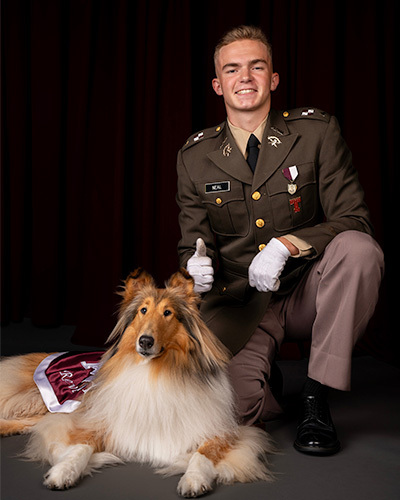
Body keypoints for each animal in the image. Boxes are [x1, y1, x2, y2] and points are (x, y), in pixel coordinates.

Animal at [0, 270, 276, 496]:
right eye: (143, 310)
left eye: (167, 313)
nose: (145, 341)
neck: (154, 371)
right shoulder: (95, 421)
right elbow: (80, 447)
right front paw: (62, 472)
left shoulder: (225, 430)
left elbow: (202, 454)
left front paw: (194, 479)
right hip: (34, 399)